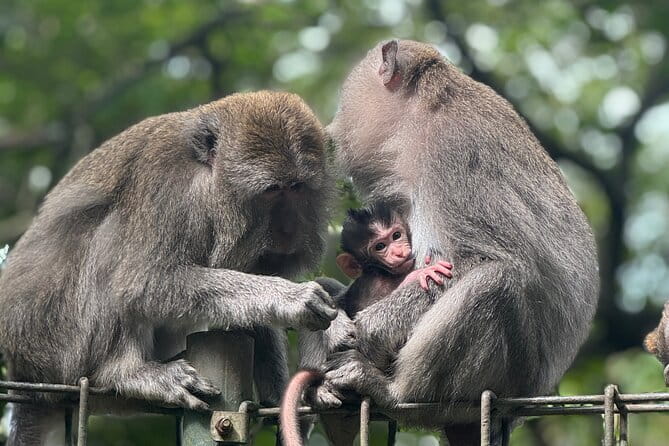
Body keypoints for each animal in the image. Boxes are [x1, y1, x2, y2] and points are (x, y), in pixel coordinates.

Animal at [0, 91, 339, 445]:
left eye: (298, 188)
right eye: (273, 190)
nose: (288, 230)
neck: (205, 182)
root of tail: (24, 372)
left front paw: (284, 400)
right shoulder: (166, 186)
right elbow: (143, 283)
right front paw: (289, 297)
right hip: (58, 348)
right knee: (114, 241)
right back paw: (125, 372)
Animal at [314, 39, 600, 445]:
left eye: (345, 101)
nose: (332, 128)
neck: (424, 112)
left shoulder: (451, 156)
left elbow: (478, 259)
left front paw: (369, 328)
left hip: (508, 383)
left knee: (496, 282)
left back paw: (394, 394)